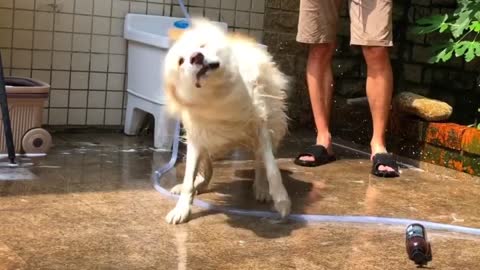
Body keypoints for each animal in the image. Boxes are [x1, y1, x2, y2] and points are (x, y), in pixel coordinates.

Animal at [163, 18, 290, 224]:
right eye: (181, 61)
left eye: (202, 46)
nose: (196, 57)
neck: (218, 95)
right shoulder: (197, 137)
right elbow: (189, 177)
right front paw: (182, 208)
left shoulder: (260, 128)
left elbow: (271, 168)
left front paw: (281, 200)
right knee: (206, 170)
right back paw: (195, 185)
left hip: (272, 125)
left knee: (260, 162)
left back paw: (262, 188)